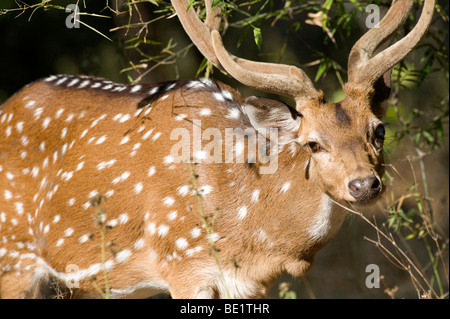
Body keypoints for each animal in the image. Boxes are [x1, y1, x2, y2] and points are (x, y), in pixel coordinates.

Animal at [0, 0, 436, 300]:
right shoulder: (183, 264)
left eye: (378, 130)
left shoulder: (248, 285)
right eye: (312, 143)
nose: (364, 185)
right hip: (13, 257)